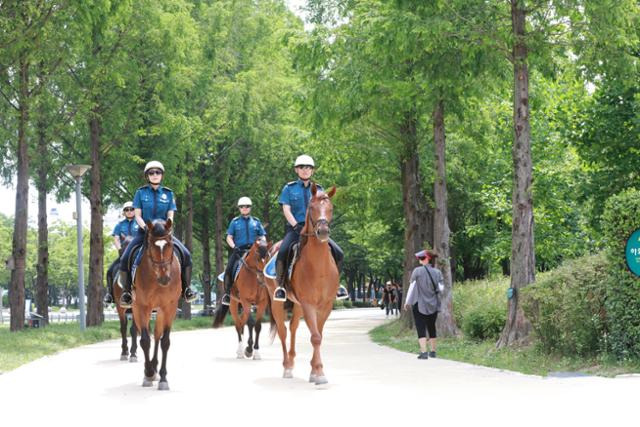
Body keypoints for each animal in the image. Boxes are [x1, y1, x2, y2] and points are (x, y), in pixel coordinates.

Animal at [130, 221, 180, 392]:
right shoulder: (141, 307)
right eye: (152, 246)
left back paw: (156, 367)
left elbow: (165, 341)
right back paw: (150, 370)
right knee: (142, 333)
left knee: (158, 335)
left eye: (169, 244)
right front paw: (149, 373)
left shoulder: (169, 307)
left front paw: (163, 378)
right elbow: (145, 340)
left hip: (160, 311)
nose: (165, 278)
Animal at [266, 183, 340, 384]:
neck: (318, 266)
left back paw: (291, 362)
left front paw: (314, 371)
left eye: (331, 208)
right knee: (283, 331)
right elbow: (315, 337)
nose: (323, 232)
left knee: (293, 328)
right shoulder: (308, 303)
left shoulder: (325, 305)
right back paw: (286, 367)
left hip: (297, 305)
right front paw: (319, 373)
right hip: (277, 303)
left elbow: (319, 335)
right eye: (311, 207)